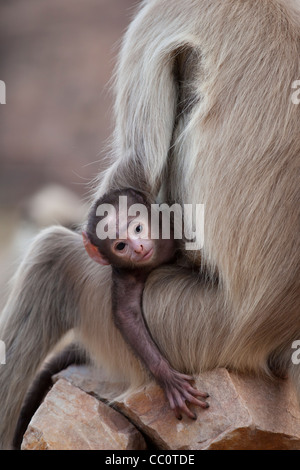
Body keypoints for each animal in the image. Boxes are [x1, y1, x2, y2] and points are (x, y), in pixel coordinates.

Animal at [82, 187, 209, 418]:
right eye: (121, 246)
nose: (139, 248)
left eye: (138, 228)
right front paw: (166, 376)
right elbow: (126, 315)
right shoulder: (126, 275)